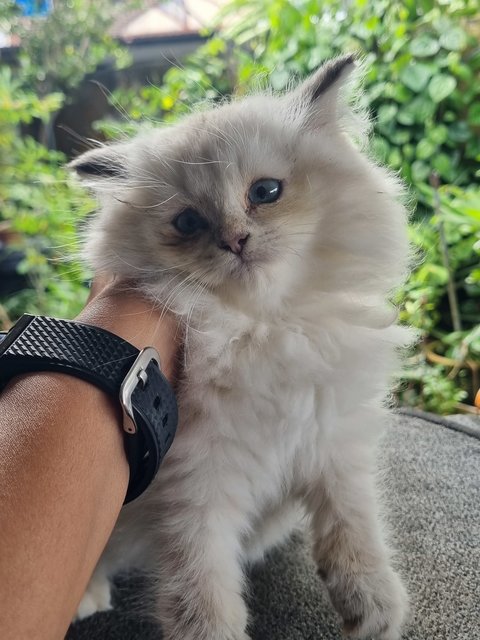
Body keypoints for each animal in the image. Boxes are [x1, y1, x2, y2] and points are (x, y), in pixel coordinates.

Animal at [73, 56, 410, 640]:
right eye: (188, 222)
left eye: (266, 192)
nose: (235, 240)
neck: (264, 326)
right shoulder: (194, 487)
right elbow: (202, 591)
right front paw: (213, 632)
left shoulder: (334, 442)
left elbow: (353, 526)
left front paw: (373, 608)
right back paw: (87, 597)